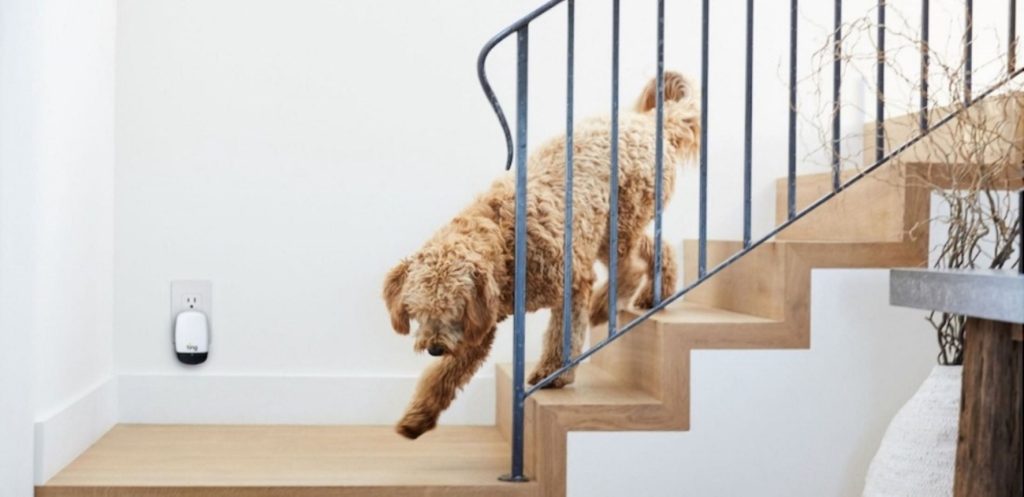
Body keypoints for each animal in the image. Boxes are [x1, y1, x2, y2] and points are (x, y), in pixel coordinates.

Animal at [380, 70, 700, 438]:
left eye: (453, 308)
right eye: (417, 311)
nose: (434, 347)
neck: (505, 241)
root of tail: (648, 123)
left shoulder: (571, 281)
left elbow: (564, 336)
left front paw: (554, 374)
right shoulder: (477, 329)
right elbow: (444, 377)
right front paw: (417, 417)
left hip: (619, 222)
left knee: (630, 268)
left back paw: (605, 306)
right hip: (608, 231)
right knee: (657, 247)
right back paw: (656, 294)